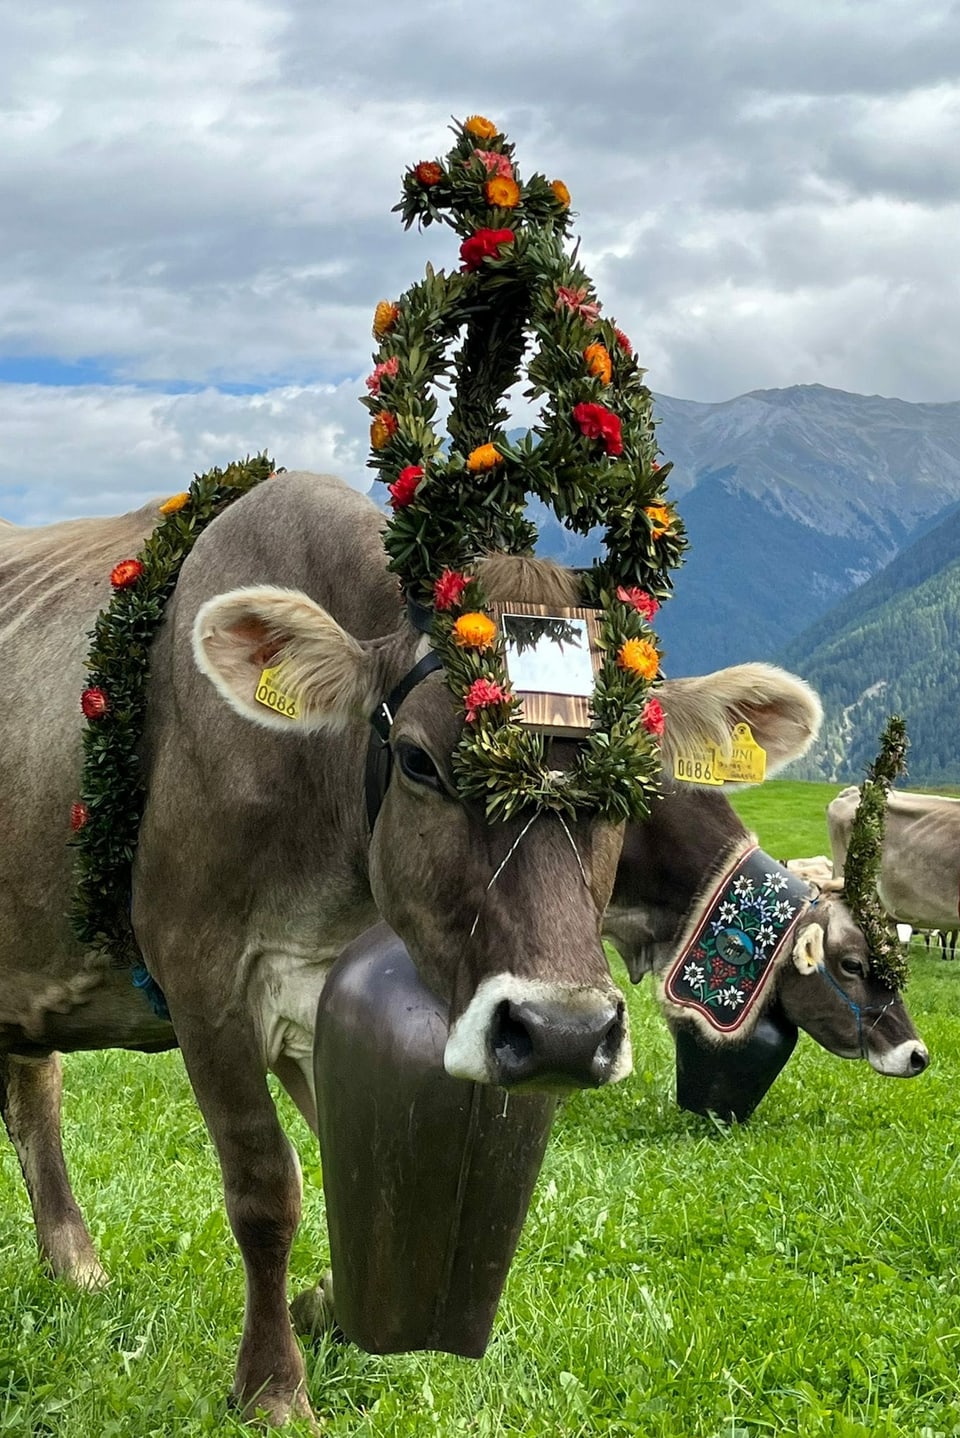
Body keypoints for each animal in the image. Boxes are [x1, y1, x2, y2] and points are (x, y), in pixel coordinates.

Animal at [0, 474, 827, 1426]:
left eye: (635, 780)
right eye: (420, 761)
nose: (564, 1034)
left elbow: (349, 1168)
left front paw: (326, 1304)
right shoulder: (201, 975)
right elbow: (266, 1187)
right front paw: (274, 1386)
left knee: (32, 1089)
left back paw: (75, 1267)